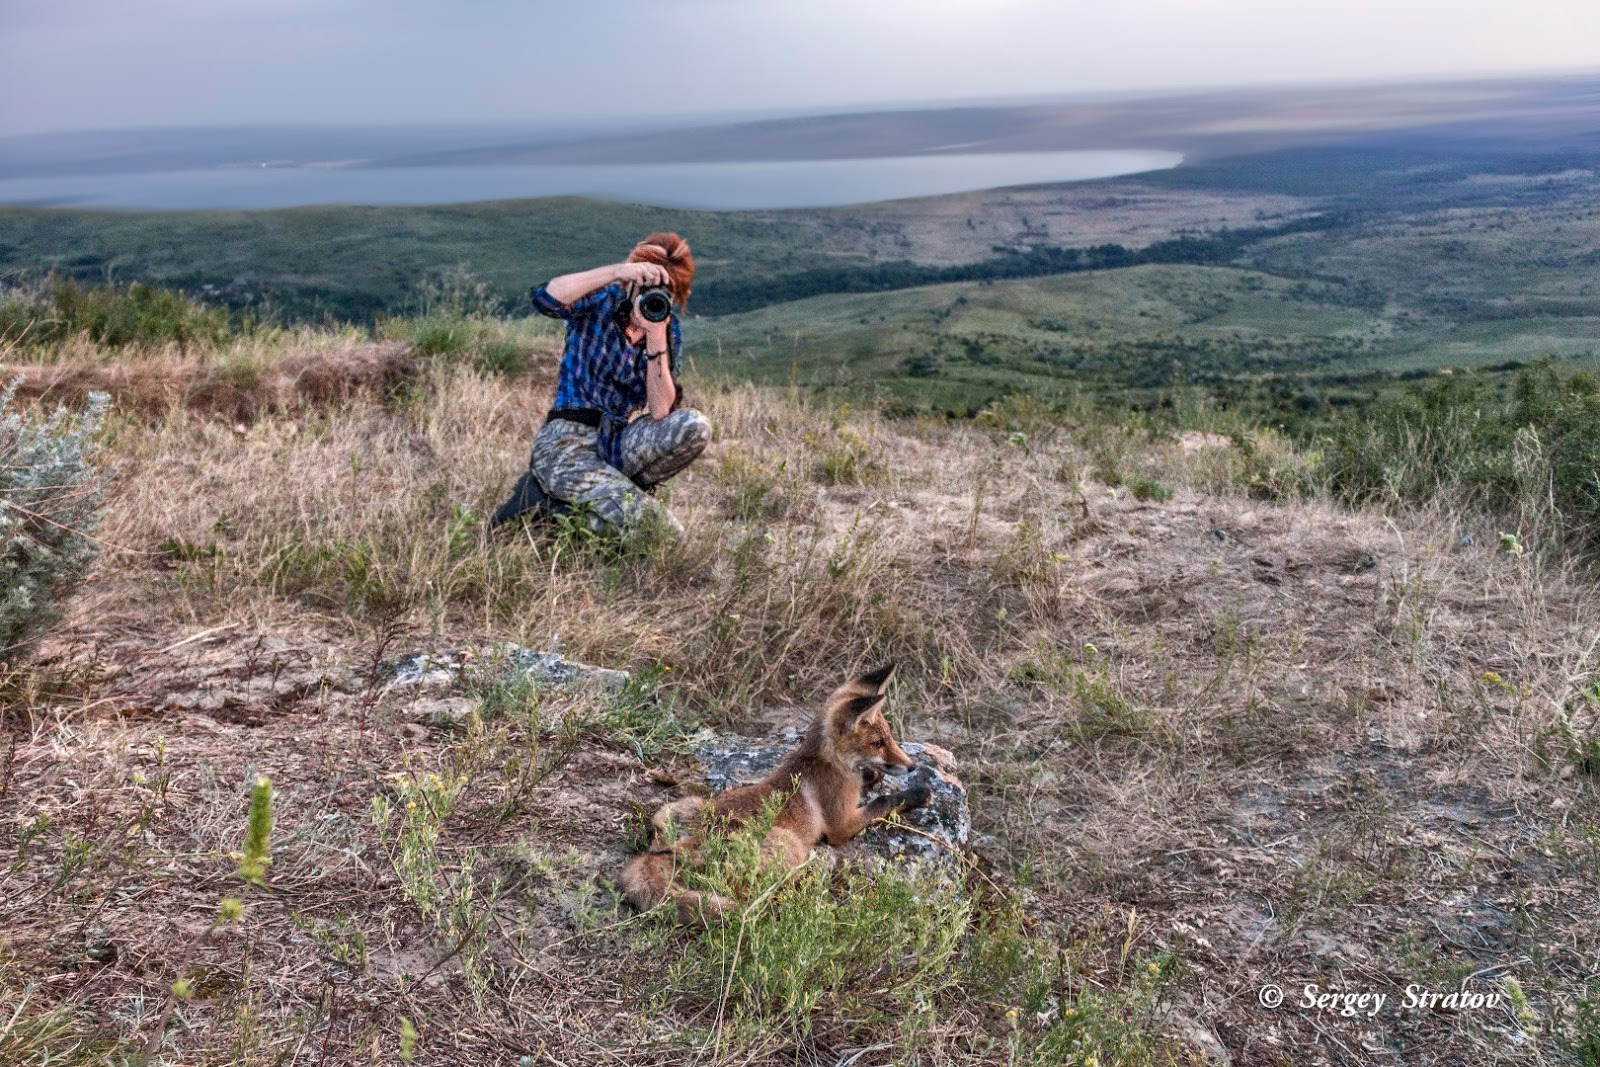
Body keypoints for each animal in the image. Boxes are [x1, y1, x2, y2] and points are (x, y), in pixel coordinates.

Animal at [617, 662, 934, 921]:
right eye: (878, 743)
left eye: (890, 737)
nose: (912, 765)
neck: (827, 762)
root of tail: (669, 852)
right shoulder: (841, 825)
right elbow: (884, 801)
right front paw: (918, 792)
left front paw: (874, 775)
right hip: (790, 846)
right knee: (763, 893)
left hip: (678, 808)